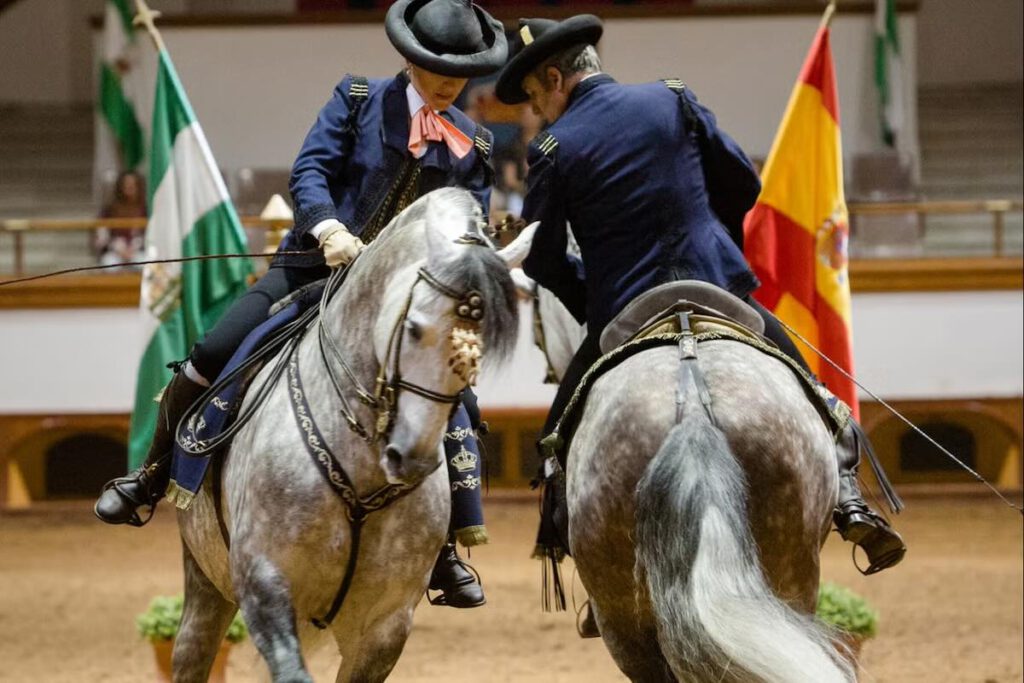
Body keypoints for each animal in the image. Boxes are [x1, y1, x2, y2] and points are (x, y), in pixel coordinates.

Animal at [172, 188, 520, 683]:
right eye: (413, 327)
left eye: (479, 346)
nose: (412, 458)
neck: (359, 470)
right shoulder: (264, 584)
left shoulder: (385, 625)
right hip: (204, 579)